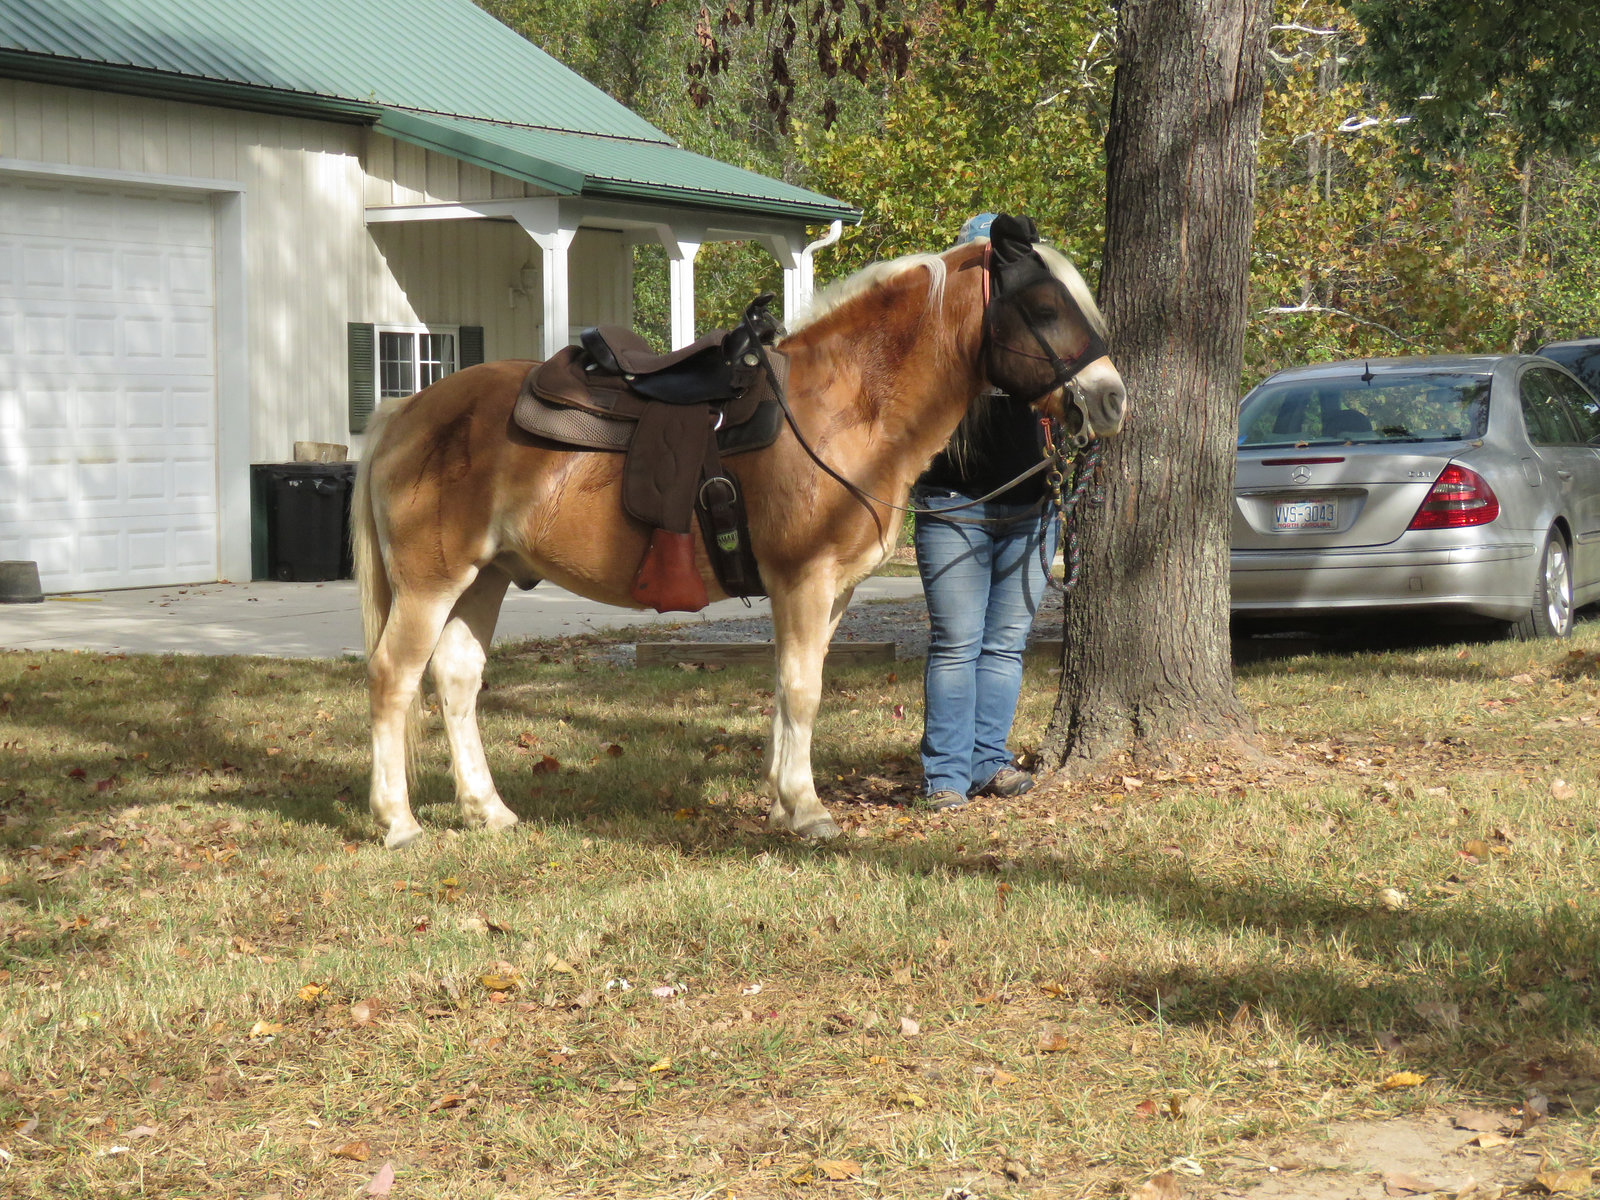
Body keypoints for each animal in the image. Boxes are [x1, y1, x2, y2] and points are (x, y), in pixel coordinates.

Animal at [353, 224, 1126, 844]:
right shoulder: (803, 580)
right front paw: (808, 811)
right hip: (430, 584)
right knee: (394, 677)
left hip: (485, 578)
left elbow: (792, 688)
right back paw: (398, 822)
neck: (841, 406)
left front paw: (785, 802)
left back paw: (488, 810)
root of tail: (406, 412)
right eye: (1045, 308)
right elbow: (804, 689)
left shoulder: (829, 593)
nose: (1113, 398)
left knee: (456, 680)